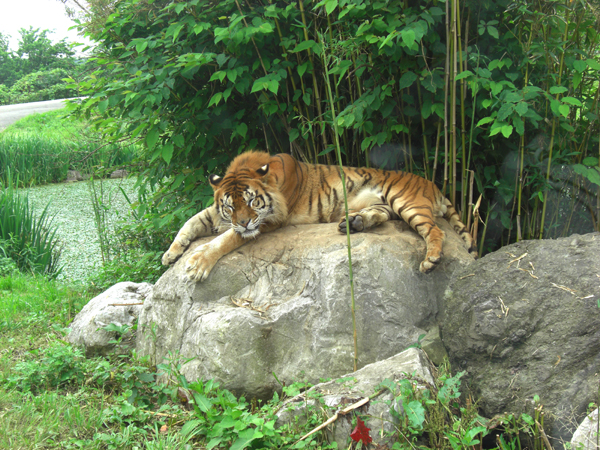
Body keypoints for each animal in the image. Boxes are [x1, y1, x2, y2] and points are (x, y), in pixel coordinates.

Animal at [162, 151, 477, 282]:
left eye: (252, 202)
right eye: (230, 206)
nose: (243, 221)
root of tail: (435, 185)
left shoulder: (269, 221)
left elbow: (226, 239)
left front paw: (197, 264)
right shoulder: (216, 214)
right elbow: (190, 222)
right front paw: (170, 254)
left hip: (407, 201)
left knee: (435, 230)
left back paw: (431, 260)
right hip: (386, 205)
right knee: (382, 216)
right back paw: (354, 222)